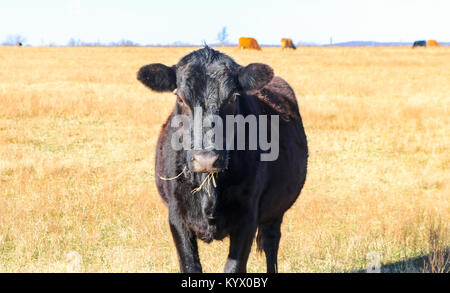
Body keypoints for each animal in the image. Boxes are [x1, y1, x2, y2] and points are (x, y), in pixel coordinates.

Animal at [135, 45, 308, 272]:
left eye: (233, 97)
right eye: (180, 98)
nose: (206, 159)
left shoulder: (247, 219)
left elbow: (234, 267)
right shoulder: (177, 218)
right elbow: (190, 265)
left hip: (276, 211)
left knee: (271, 244)